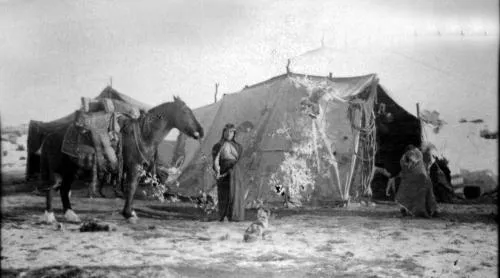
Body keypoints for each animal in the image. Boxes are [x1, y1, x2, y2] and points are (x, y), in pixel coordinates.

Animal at [40, 96, 202, 224]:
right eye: (186, 111)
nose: (200, 131)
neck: (143, 135)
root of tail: (49, 136)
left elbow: (132, 188)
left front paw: (129, 213)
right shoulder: (134, 167)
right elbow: (131, 188)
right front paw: (129, 214)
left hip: (71, 170)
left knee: (63, 189)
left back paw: (71, 215)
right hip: (57, 170)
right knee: (52, 188)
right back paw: (50, 217)